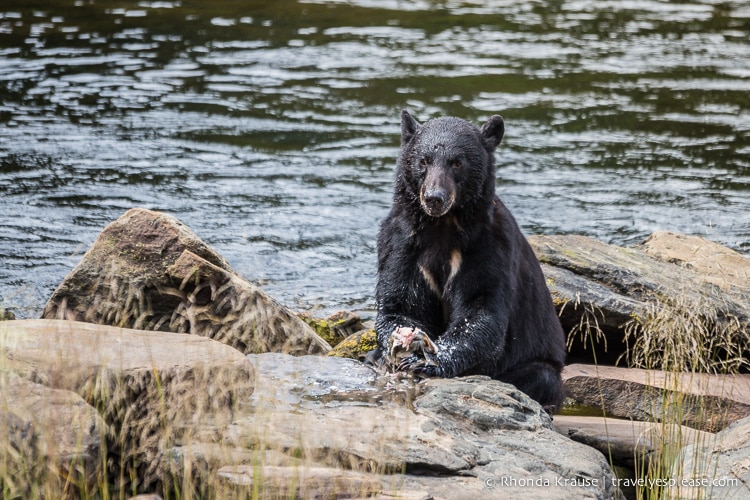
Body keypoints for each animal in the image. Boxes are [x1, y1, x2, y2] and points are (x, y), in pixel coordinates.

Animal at [374, 109, 568, 410]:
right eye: (423, 160)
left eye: (457, 162)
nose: (434, 198)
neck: (442, 227)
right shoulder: (401, 243)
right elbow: (401, 301)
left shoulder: (489, 246)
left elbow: (481, 308)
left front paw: (429, 361)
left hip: (538, 364)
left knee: (541, 377)